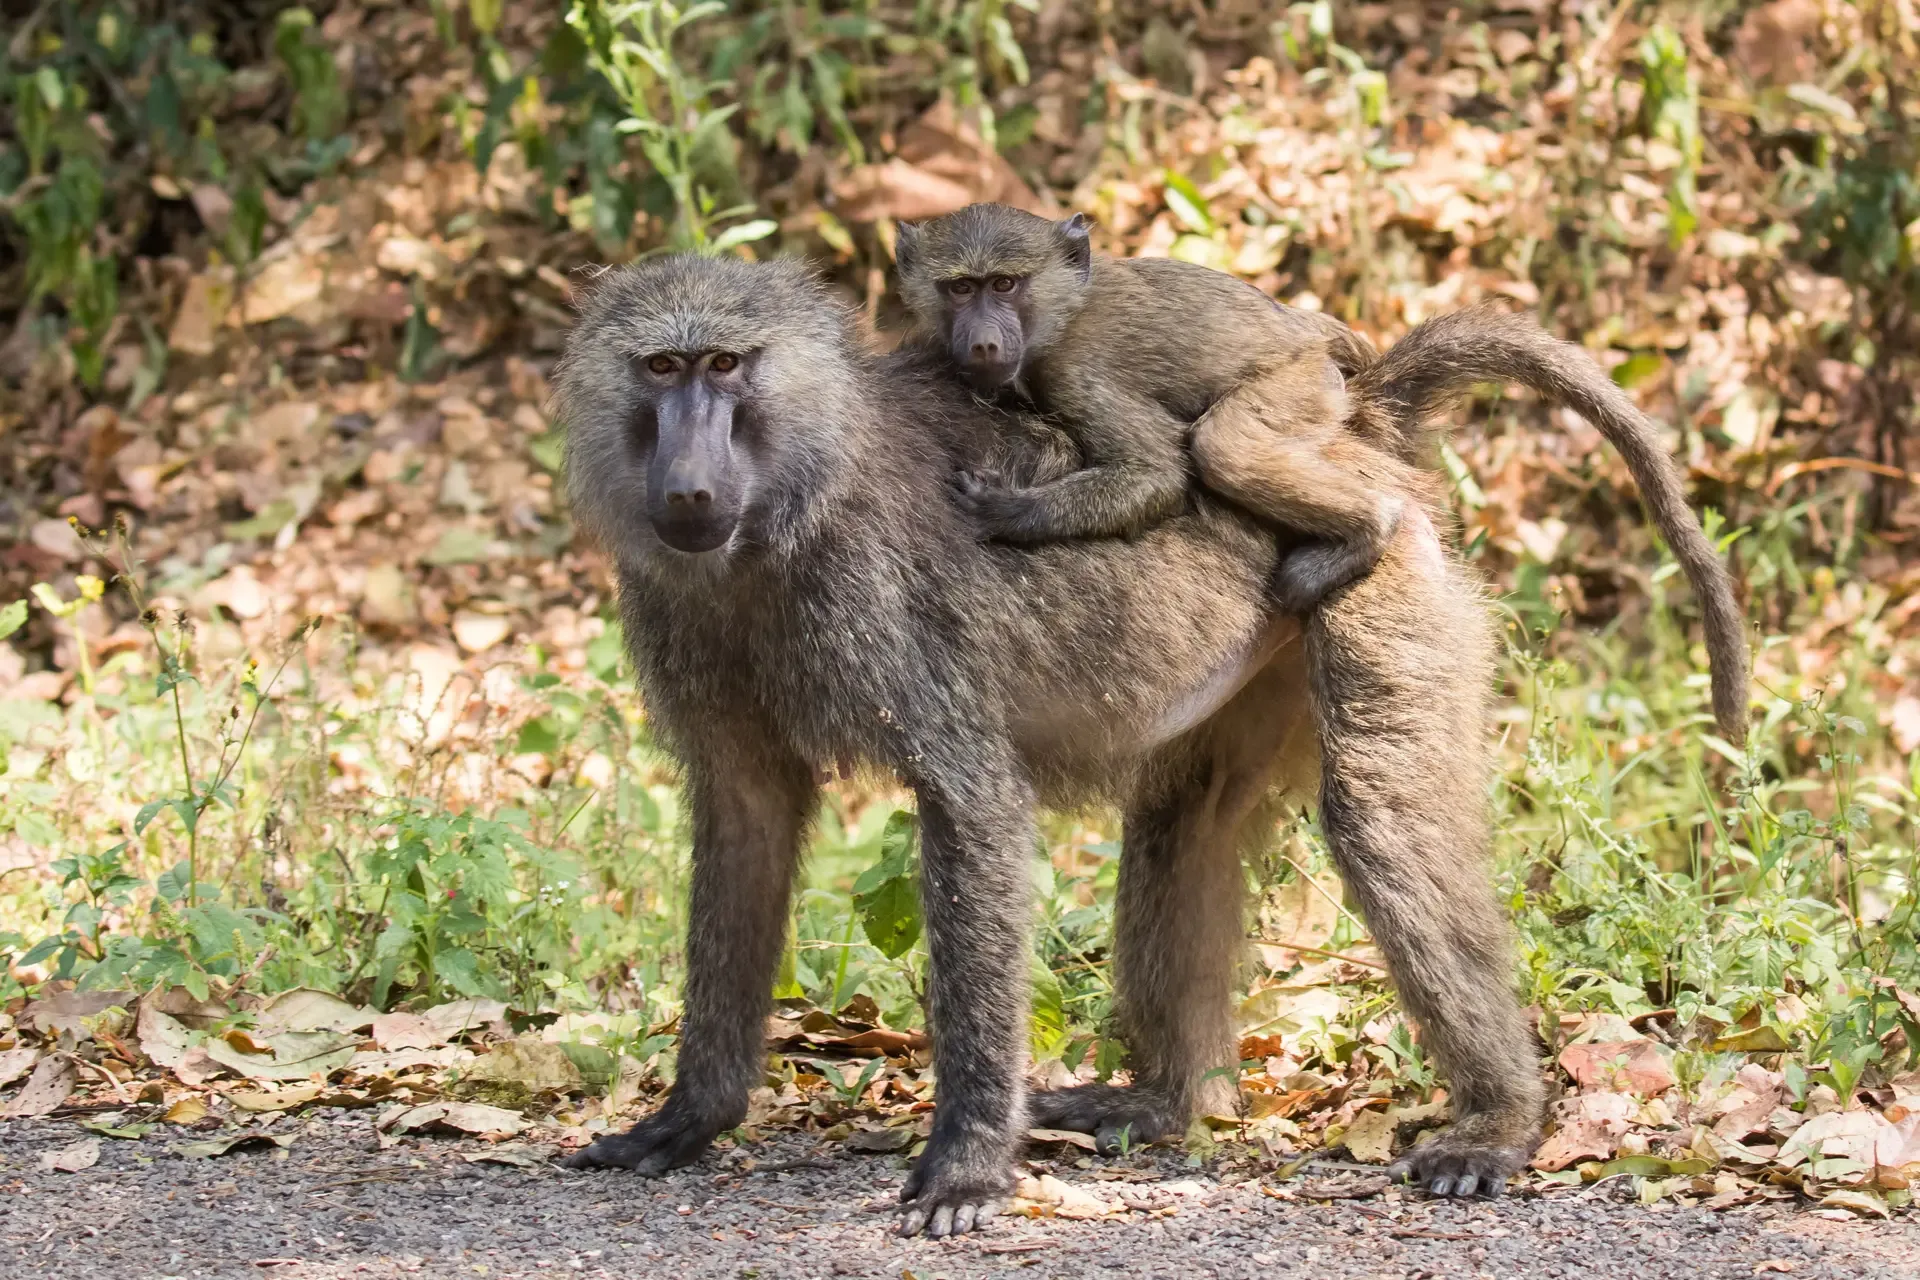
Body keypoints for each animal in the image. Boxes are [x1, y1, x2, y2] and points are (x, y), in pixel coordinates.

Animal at [893, 203, 1750, 742]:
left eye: (1005, 284)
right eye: (959, 288)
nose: (982, 343)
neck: (1056, 315)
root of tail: (1340, 372)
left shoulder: (1074, 370)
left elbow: (1157, 473)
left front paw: (1007, 513)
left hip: (1297, 388)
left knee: (1225, 447)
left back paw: (1361, 536)